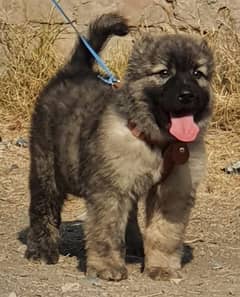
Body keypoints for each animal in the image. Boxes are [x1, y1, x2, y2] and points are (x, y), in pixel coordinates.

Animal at [25, 12, 214, 280]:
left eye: (198, 74)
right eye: (164, 73)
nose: (187, 95)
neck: (158, 142)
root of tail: (75, 70)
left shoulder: (172, 193)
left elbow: (164, 234)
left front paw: (161, 267)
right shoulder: (110, 190)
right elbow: (107, 231)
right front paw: (107, 267)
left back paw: (134, 244)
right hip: (46, 165)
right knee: (43, 207)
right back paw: (42, 249)